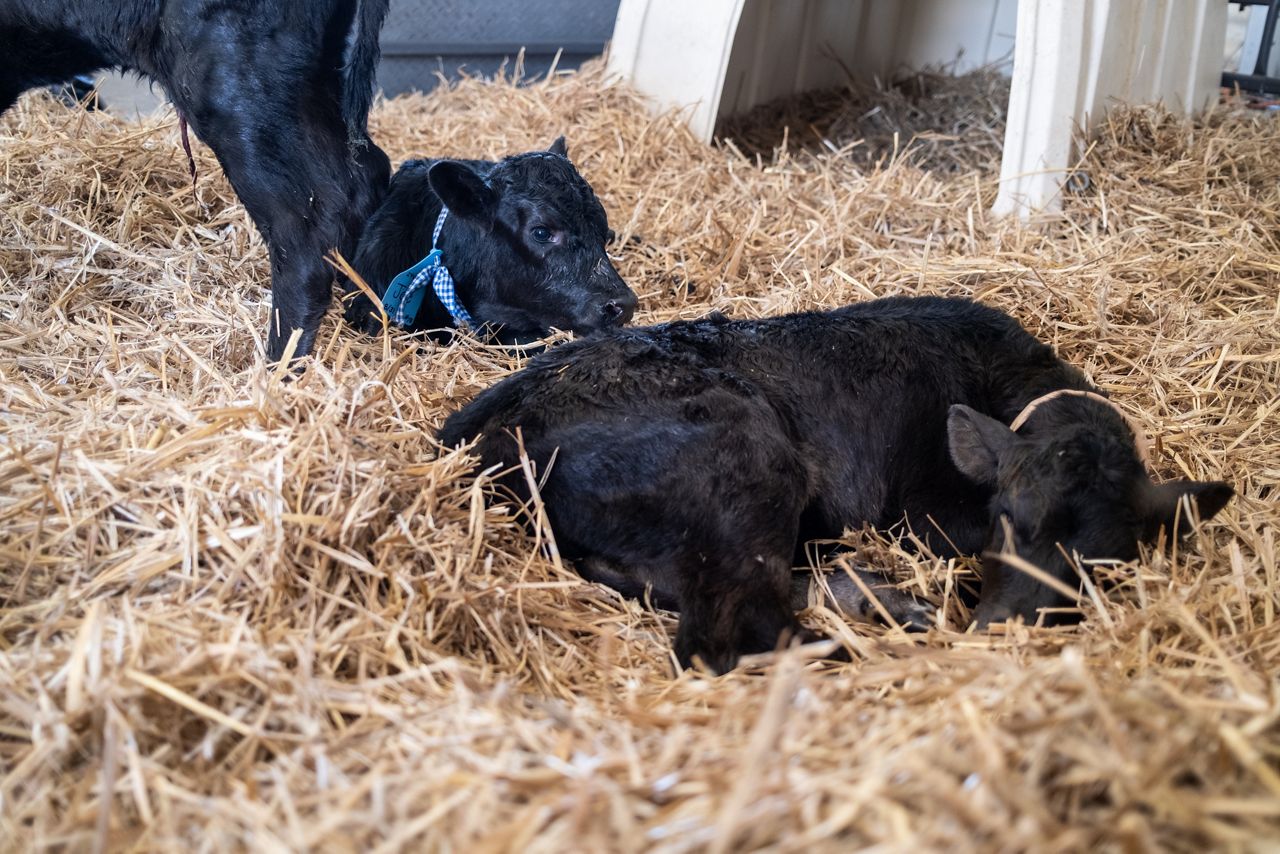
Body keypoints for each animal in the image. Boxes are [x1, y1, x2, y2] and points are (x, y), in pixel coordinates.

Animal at [440, 299, 1228, 676]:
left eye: (1108, 562)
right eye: (1008, 517)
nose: (1009, 631)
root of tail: (477, 429)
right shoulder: (929, 512)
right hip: (746, 465)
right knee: (730, 632)